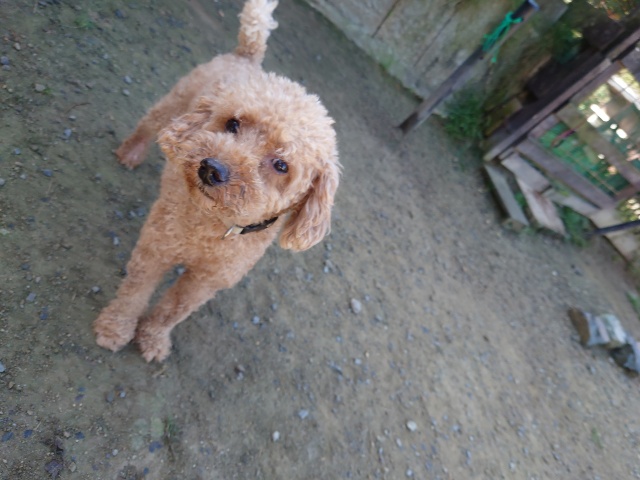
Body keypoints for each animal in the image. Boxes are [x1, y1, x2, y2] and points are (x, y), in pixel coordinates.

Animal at [93, 0, 340, 362]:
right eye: (233, 124)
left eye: (281, 165)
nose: (211, 169)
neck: (214, 227)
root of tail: (246, 57)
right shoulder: (156, 248)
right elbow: (134, 292)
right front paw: (115, 329)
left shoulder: (206, 281)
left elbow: (173, 311)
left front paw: (153, 340)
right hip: (177, 99)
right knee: (151, 122)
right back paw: (130, 152)